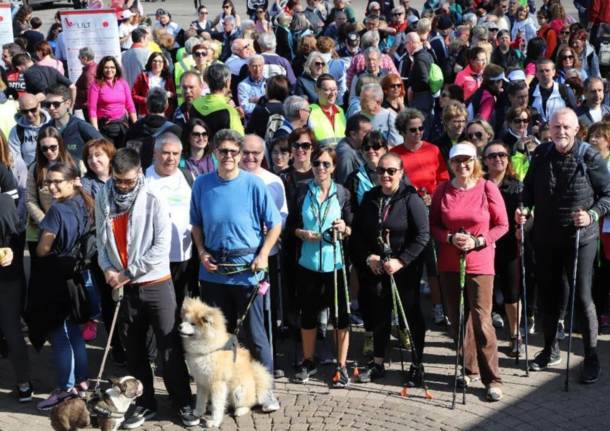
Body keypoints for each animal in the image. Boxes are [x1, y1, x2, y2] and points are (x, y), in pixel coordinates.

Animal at [179, 296, 272, 428]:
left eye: (193, 324)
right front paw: (198, 412)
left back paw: (240, 410)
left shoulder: (217, 383)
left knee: (248, 404)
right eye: (185, 320)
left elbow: (217, 406)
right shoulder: (201, 381)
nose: (179, 326)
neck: (209, 349)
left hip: (239, 392)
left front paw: (214, 422)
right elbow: (200, 400)